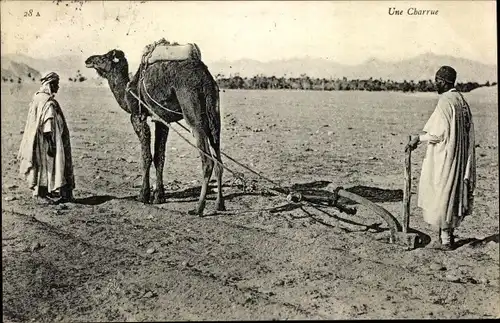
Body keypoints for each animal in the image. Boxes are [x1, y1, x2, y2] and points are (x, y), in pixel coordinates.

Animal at [85, 48, 226, 215]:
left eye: (103, 58)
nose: (88, 60)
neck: (128, 91)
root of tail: (206, 79)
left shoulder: (137, 116)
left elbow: (146, 156)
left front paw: (143, 195)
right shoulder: (161, 120)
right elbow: (159, 157)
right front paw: (159, 196)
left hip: (193, 110)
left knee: (207, 161)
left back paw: (198, 208)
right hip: (214, 114)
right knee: (218, 159)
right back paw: (219, 204)